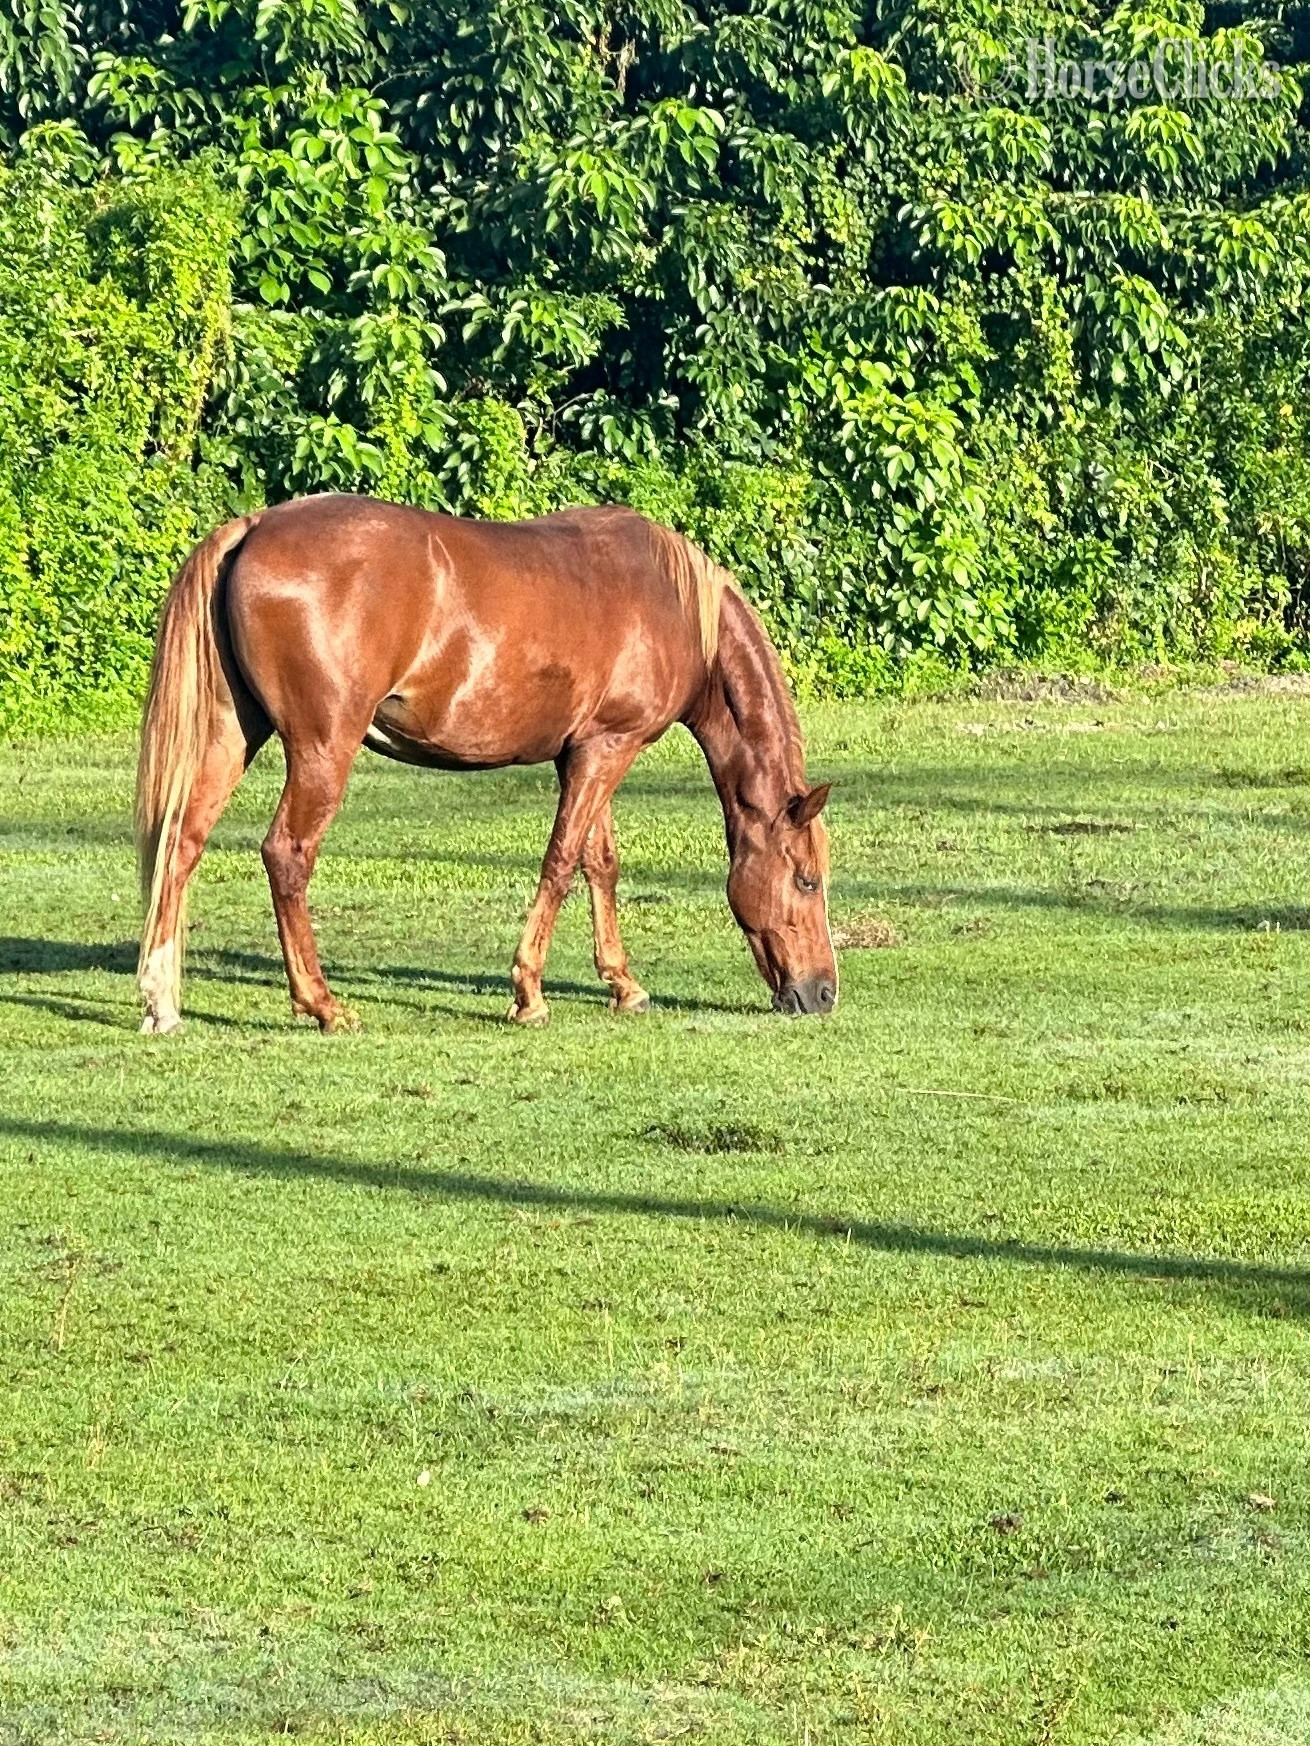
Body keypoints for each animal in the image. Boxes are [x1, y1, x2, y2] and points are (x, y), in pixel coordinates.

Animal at [134, 494, 836, 1034]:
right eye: (807, 880)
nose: (824, 993)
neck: (673, 603)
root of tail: (253, 528)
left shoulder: (590, 752)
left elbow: (599, 864)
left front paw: (623, 984)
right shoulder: (608, 749)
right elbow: (561, 863)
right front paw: (529, 994)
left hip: (231, 735)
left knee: (182, 843)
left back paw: (162, 1001)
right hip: (321, 750)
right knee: (286, 854)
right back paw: (323, 1004)